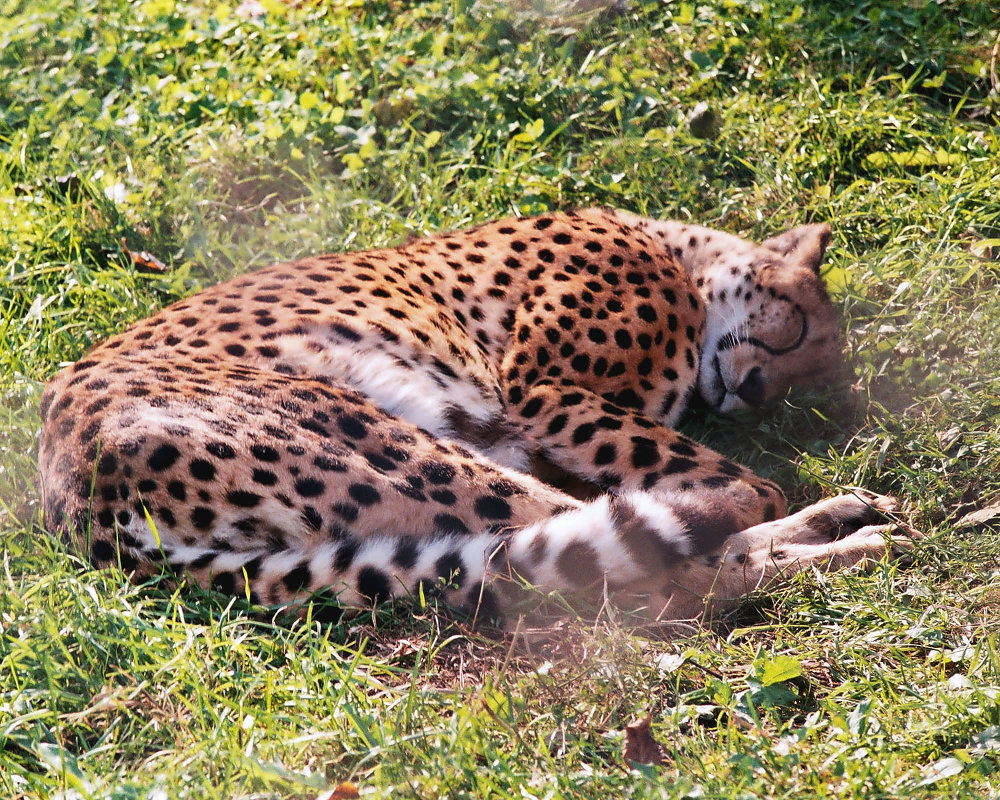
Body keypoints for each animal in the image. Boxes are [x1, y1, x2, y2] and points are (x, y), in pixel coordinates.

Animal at [39, 206, 916, 624]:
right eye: (797, 329)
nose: (757, 390)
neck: (676, 254)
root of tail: (76, 510)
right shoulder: (542, 392)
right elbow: (747, 486)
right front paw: (760, 498)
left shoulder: (522, 427)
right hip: (386, 440)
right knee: (648, 580)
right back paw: (847, 537)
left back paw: (843, 521)